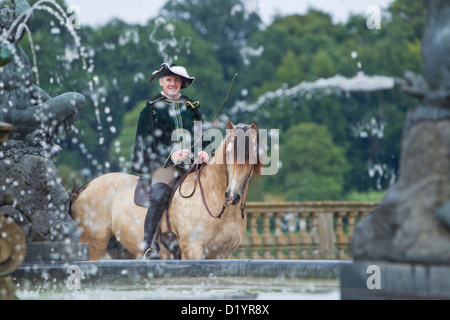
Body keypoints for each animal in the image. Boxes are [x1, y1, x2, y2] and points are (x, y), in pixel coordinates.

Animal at [70, 120, 264, 260]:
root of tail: (85, 188)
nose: (232, 195)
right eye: (228, 153)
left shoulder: (223, 254)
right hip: (93, 246)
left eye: (253, 155)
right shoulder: (192, 251)